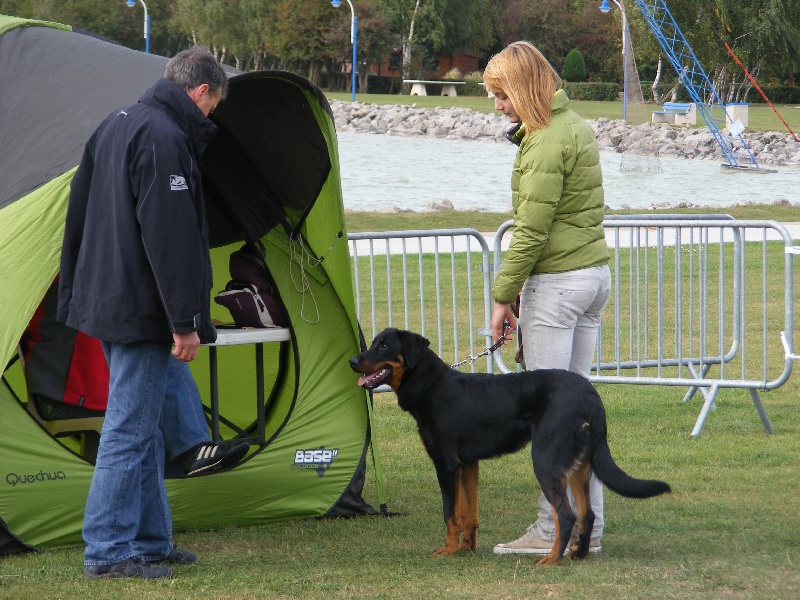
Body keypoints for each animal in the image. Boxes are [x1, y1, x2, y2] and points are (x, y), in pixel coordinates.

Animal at [350, 330, 668, 564]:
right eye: (374, 343)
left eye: (384, 345)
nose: (353, 360)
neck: (431, 386)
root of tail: (590, 395)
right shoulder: (468, 464)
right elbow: (469, 513)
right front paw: (466, 549)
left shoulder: (446, 464)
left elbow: (450, 514)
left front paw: (448, 550)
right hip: (578, 466)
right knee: (586, 515)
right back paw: (577, 555)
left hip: (545, 460)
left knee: (565, 514)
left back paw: (552, 559)